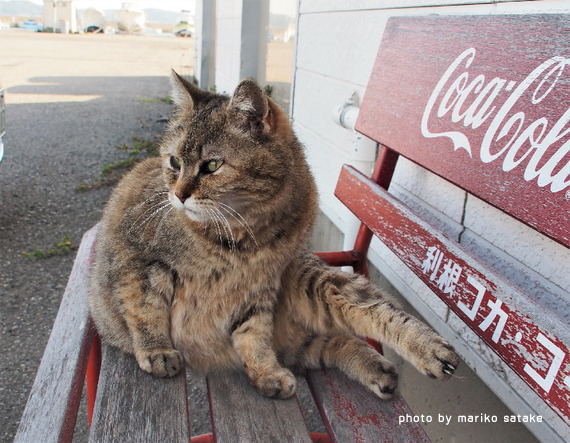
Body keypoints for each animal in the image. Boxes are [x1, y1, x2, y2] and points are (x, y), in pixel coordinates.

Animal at [90, 72, 462, 398]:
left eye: (212, 165)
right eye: (174, 163)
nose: (178, 195)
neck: (243, 234)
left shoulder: (260, 288)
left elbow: (255, 336)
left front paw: (265, 371)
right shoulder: (136, 258)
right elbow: (145, 309)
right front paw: (158, 350)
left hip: (310, 280)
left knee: (368, 310)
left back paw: (423, 351)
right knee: (325, 343)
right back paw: (377, 367)